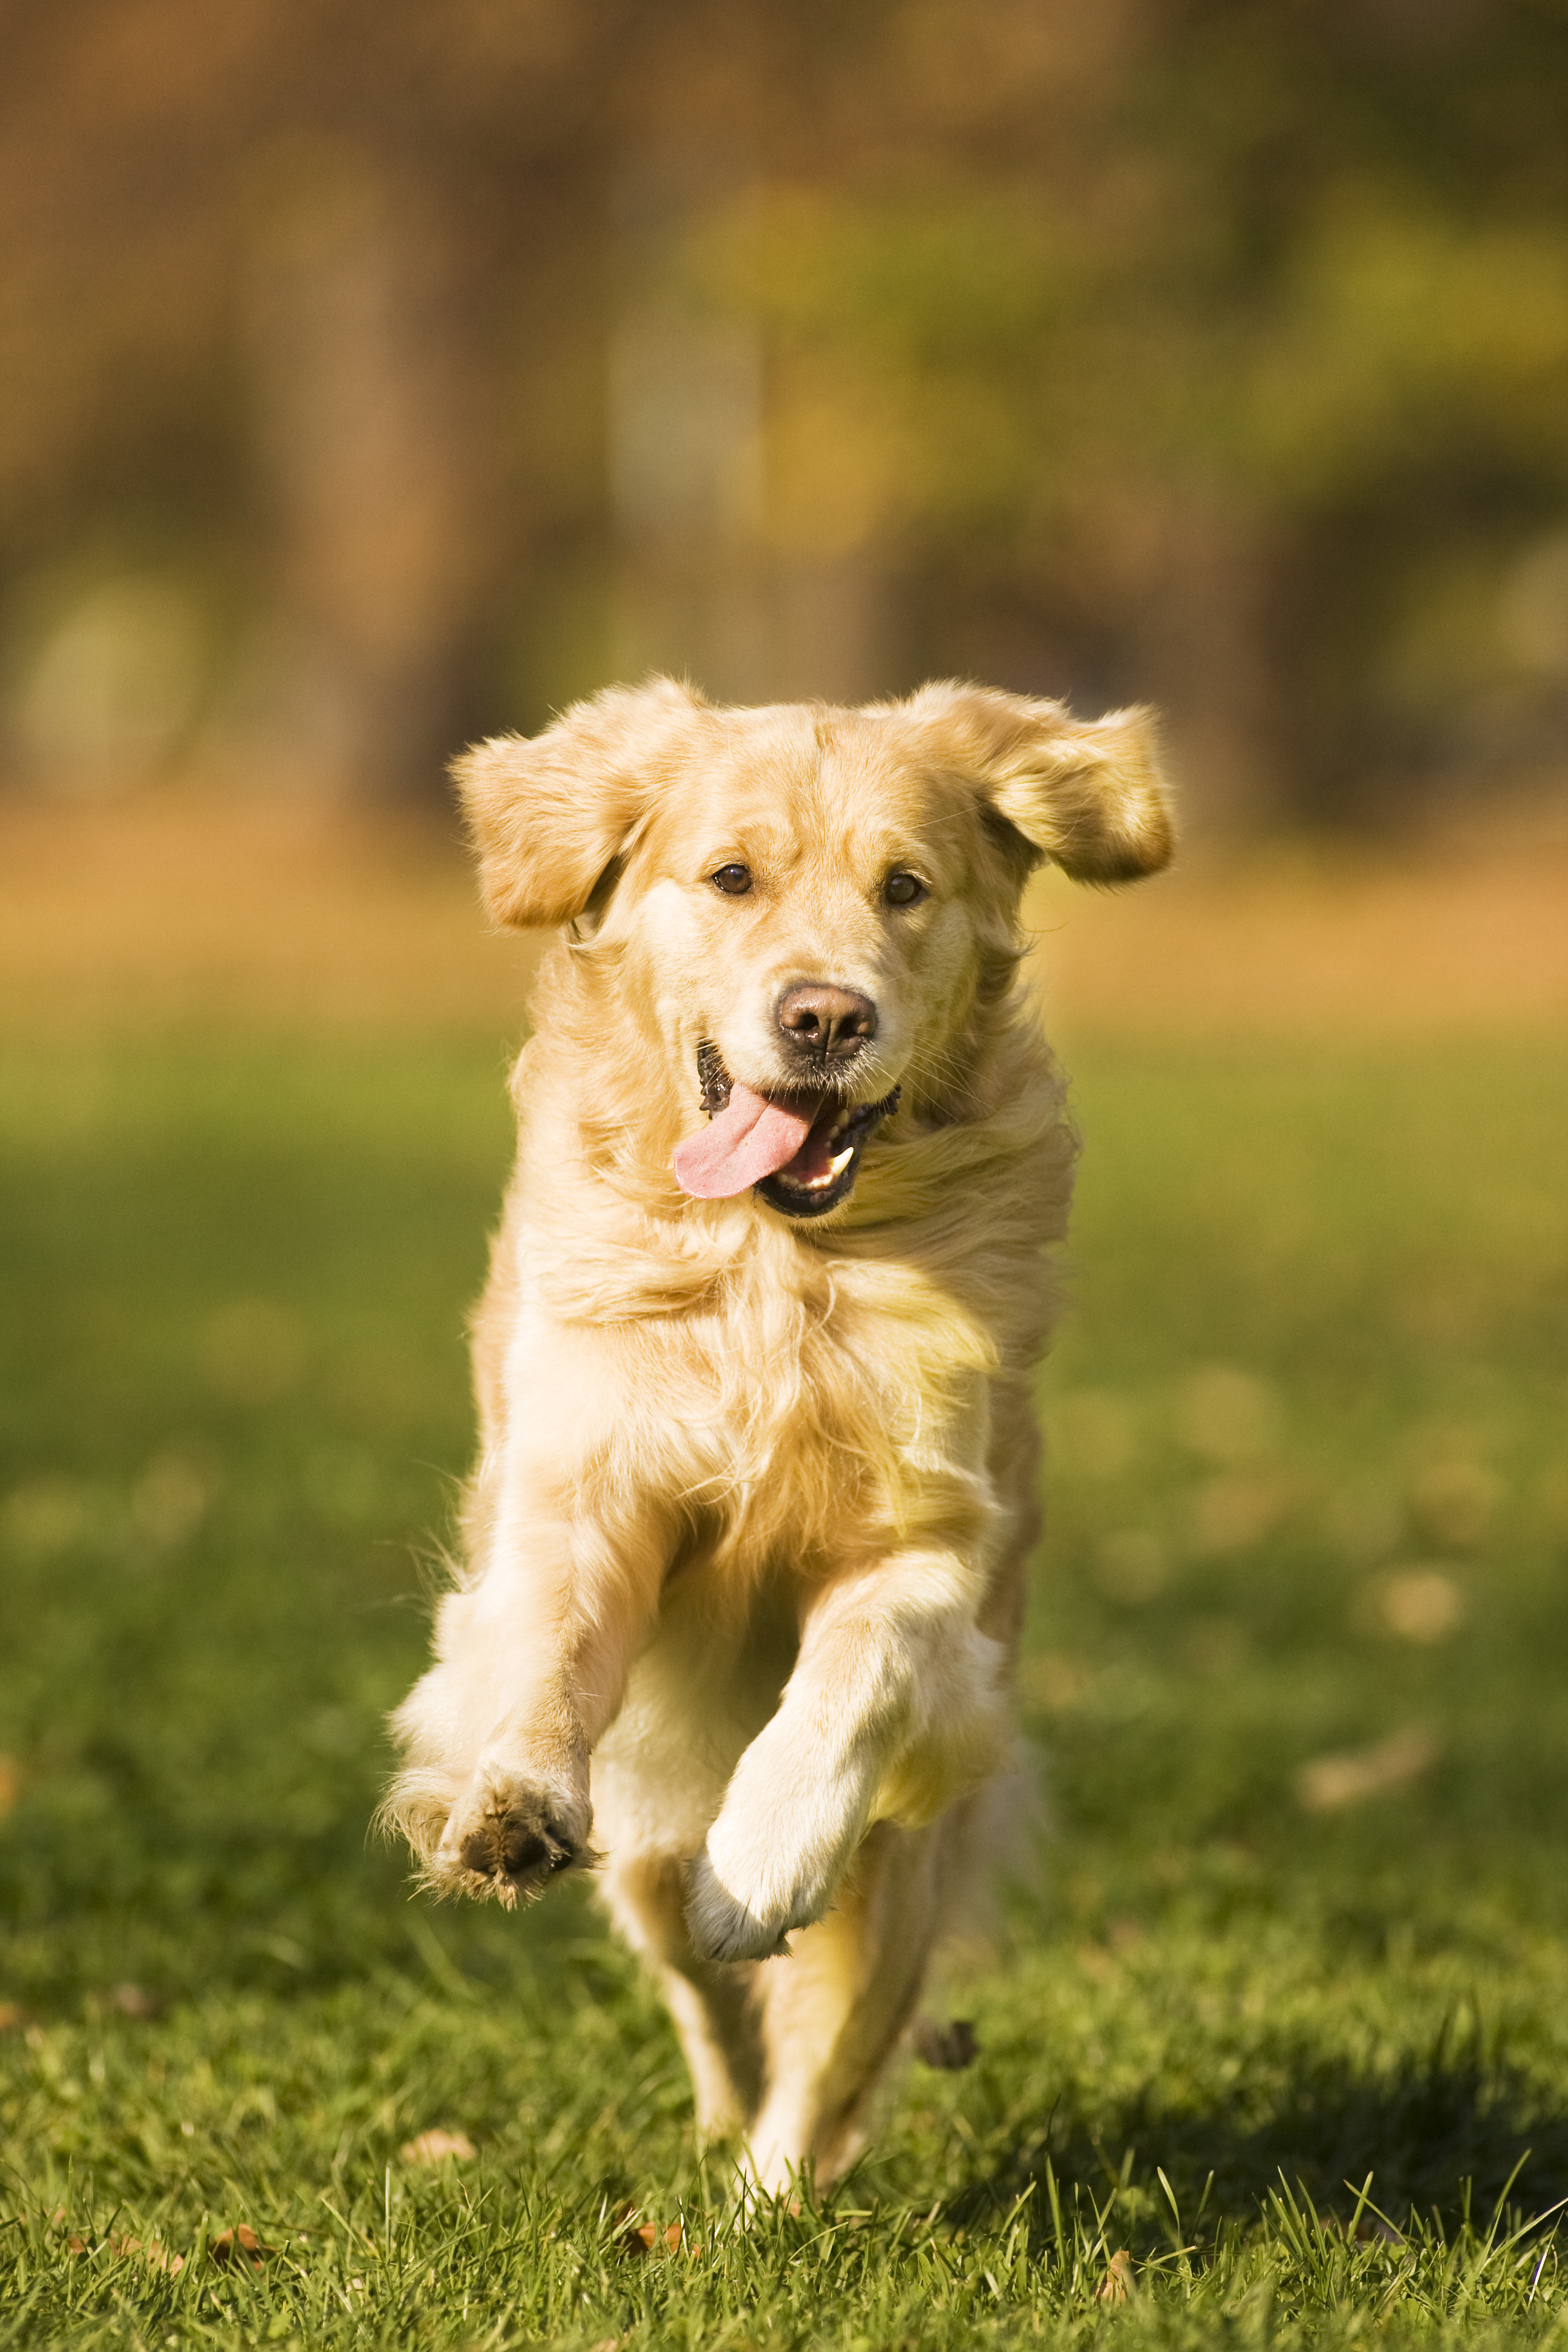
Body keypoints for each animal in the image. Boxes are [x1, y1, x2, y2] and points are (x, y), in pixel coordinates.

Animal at [385, 677, 1171, 2183]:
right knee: (702, 1994)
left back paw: (766, 2200)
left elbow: (853, 1678)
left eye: (905, 887)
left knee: (822, 2066)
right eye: (731, 877)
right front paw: (509, 1804)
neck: (777, 1268)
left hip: (906, 1877)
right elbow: (553, 1646)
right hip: (642, 1851)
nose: (824, 1019)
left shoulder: (935, 1552)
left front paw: (761, 1861)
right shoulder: (586, 1485)